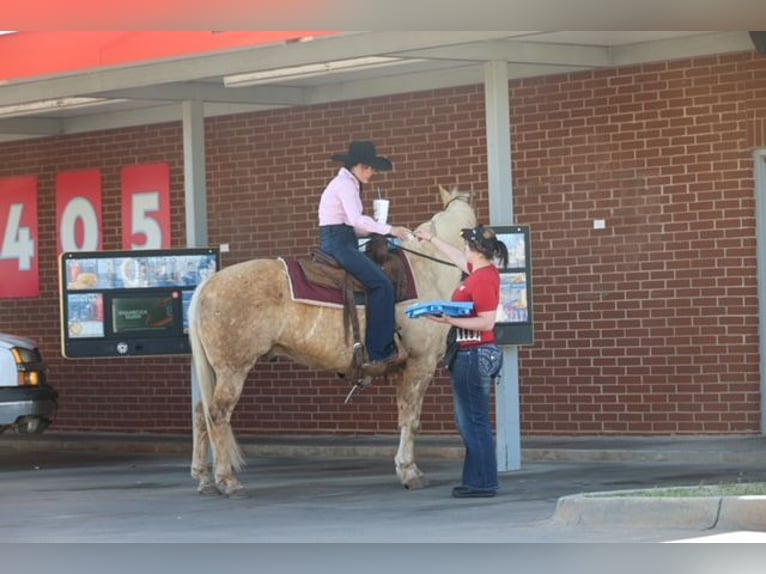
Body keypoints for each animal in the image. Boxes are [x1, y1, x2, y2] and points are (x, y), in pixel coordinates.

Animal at [188, 185, 477, 497]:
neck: (429, 269)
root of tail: (207, 284)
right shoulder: (420, 364)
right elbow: (411, 420)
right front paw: (410, 472)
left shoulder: (406, 368)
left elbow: (405, 417)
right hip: (233, 369)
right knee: (217, 414)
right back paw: (227, 480)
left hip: (218, 371)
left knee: (201, 414)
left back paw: (203, 477)